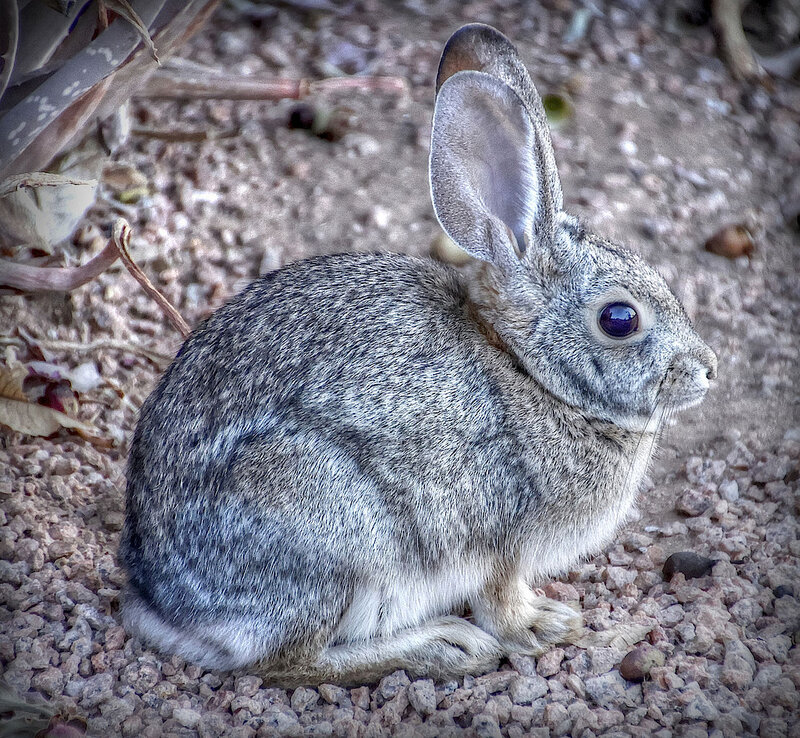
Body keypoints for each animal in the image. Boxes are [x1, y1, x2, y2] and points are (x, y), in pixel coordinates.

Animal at [119, 23, 717, 686]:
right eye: (620, 319)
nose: (707, 370)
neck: (530, 372)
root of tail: (165, 603)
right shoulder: (501, 537)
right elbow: (502, 598)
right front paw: (544, 626)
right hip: (332, 536)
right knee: (289, 663)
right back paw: (443, 647)